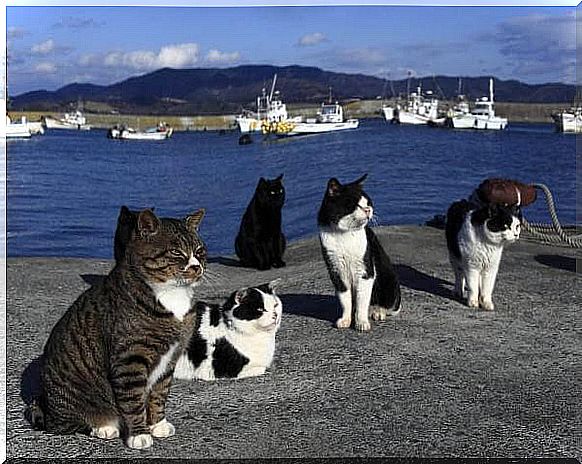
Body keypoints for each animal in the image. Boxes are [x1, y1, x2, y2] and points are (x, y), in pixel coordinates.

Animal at [320, 173, 402, 330]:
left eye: (368, 203)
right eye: (357, 205)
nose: (368, 209)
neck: (345, 235)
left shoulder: (365, 270)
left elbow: (362, 300)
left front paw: (361, 322)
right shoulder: (336, 270)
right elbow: (345, 299)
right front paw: (345, 320)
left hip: (389, 281)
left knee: (385, 307)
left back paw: (377, 312)